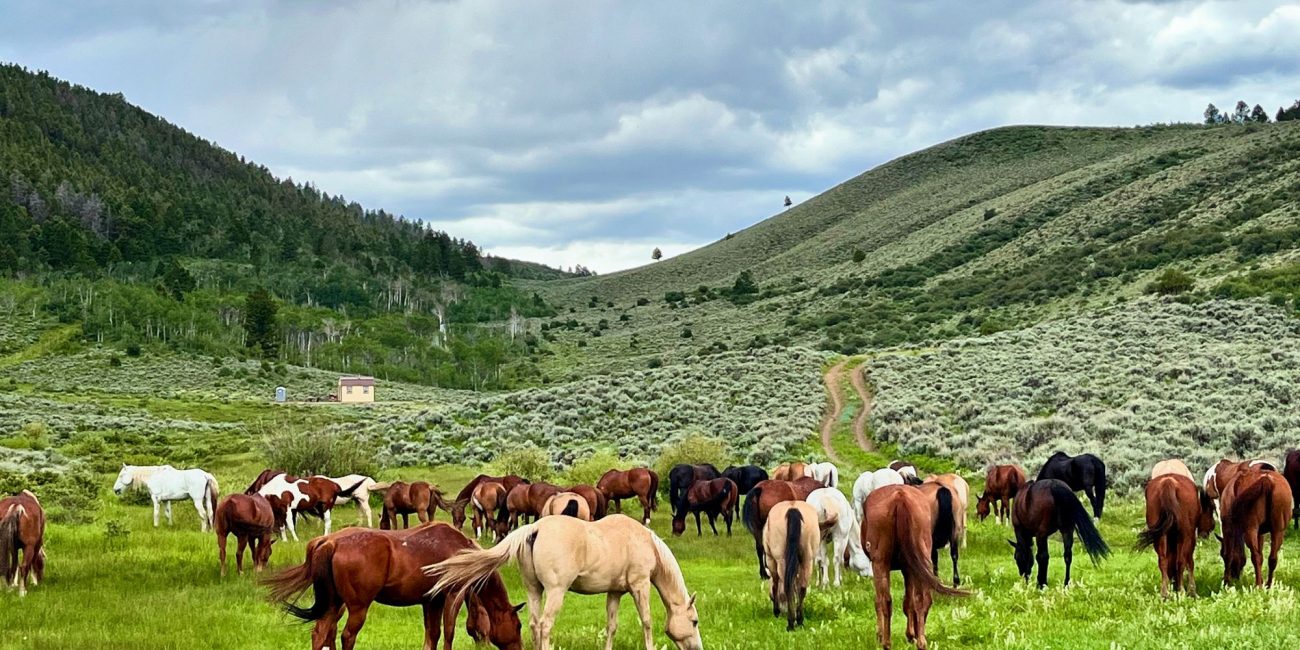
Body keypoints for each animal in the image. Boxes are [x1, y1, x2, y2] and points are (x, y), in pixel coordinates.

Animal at [265, 523, 524, 650]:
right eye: (519, 626)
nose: (519, 649)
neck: (463, 555)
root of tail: (330, 541)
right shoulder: (452, 596)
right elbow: (448, 634)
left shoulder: (431, 601)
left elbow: (432, 635)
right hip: (357, 607)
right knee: (347, 636)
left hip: (333, 603)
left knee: (320, 633)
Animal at [425, 514, 703, 650]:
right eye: (694, 621)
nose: (698, 648)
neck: (643, 541)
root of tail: (534, 529)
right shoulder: (640, 586)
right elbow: (646, 621)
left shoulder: (614, 592)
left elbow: (611, 626)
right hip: (556, 592)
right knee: (545, 625)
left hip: (534, 590)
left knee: (535, 625)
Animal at [762, 501, 820, 631]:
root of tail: (792, 509)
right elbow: (797, 586)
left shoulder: (771, 560)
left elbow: (775, 584)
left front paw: (776, 611)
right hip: (807, 560)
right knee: (802, 588)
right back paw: (799, 620)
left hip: (780, 560)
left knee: (787, 586)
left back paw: (790, 623)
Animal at [863, 485, 967, 650]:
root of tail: (900, 497)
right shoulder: (910, 567)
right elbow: (910, 601)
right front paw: (913, 634)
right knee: (921, 598)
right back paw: (921, 641)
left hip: (880, 563)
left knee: (885, 600)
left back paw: (886, 642)